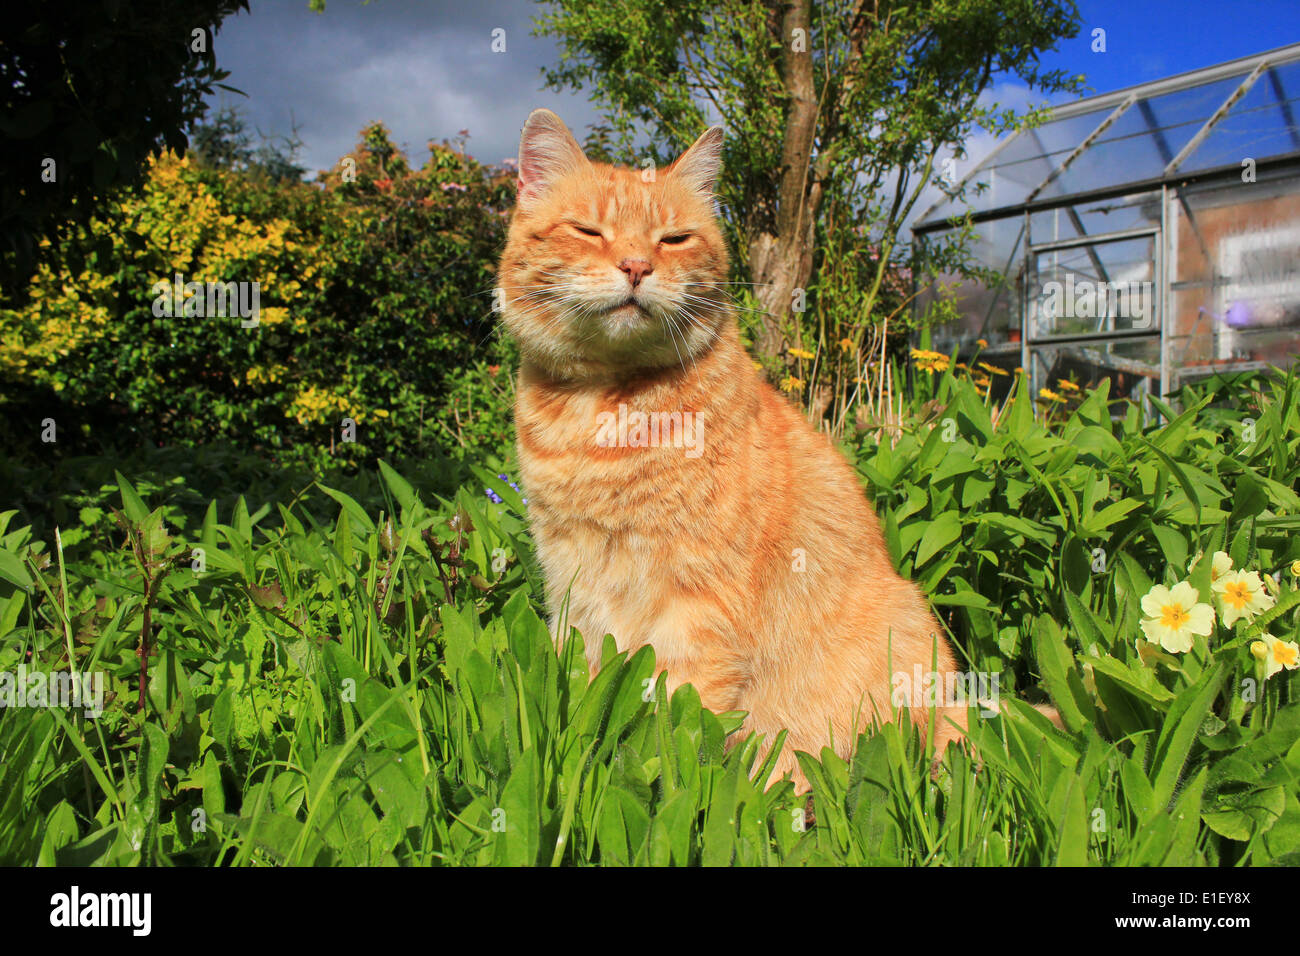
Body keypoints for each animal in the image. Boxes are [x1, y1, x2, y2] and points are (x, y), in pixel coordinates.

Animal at [496, 108, 967, 790]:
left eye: (673, 239)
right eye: (587, 230)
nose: (635, 266)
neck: (605, 408)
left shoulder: (696, 604)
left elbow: (681, 725)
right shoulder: (572, 590)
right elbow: (584, 692)